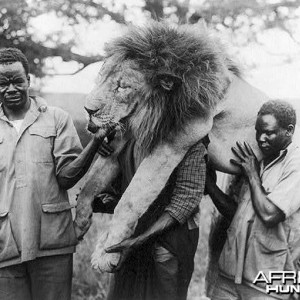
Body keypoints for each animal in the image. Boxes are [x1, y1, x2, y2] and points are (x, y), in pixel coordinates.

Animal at [74, 21, 298, 278]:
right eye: (101, 79)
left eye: (123, 86)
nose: (88, 109)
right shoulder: (126, 134)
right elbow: (91, 182)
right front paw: (80, 223)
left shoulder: (175, 141)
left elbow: (131, 199)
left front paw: (108, 253)